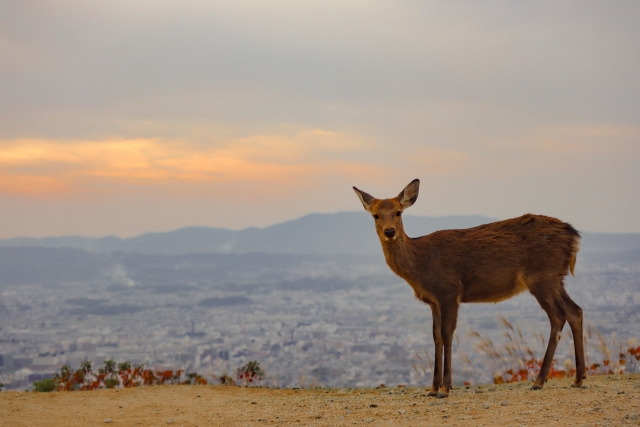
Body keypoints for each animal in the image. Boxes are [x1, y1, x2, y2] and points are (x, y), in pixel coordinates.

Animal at [356, 179, 584, 400]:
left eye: (398, 212)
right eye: (376, 215)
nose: (389, 231)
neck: (419, 268)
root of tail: (574, 237)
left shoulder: (449, 291)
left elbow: (447, 334)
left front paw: (445, 389)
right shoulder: (433, 301)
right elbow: (435, 336)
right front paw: (432, 388)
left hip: (543, 277)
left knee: (559, 316)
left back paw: (539, 381)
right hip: (555, 278)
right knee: (575, 311)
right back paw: (577, 378)